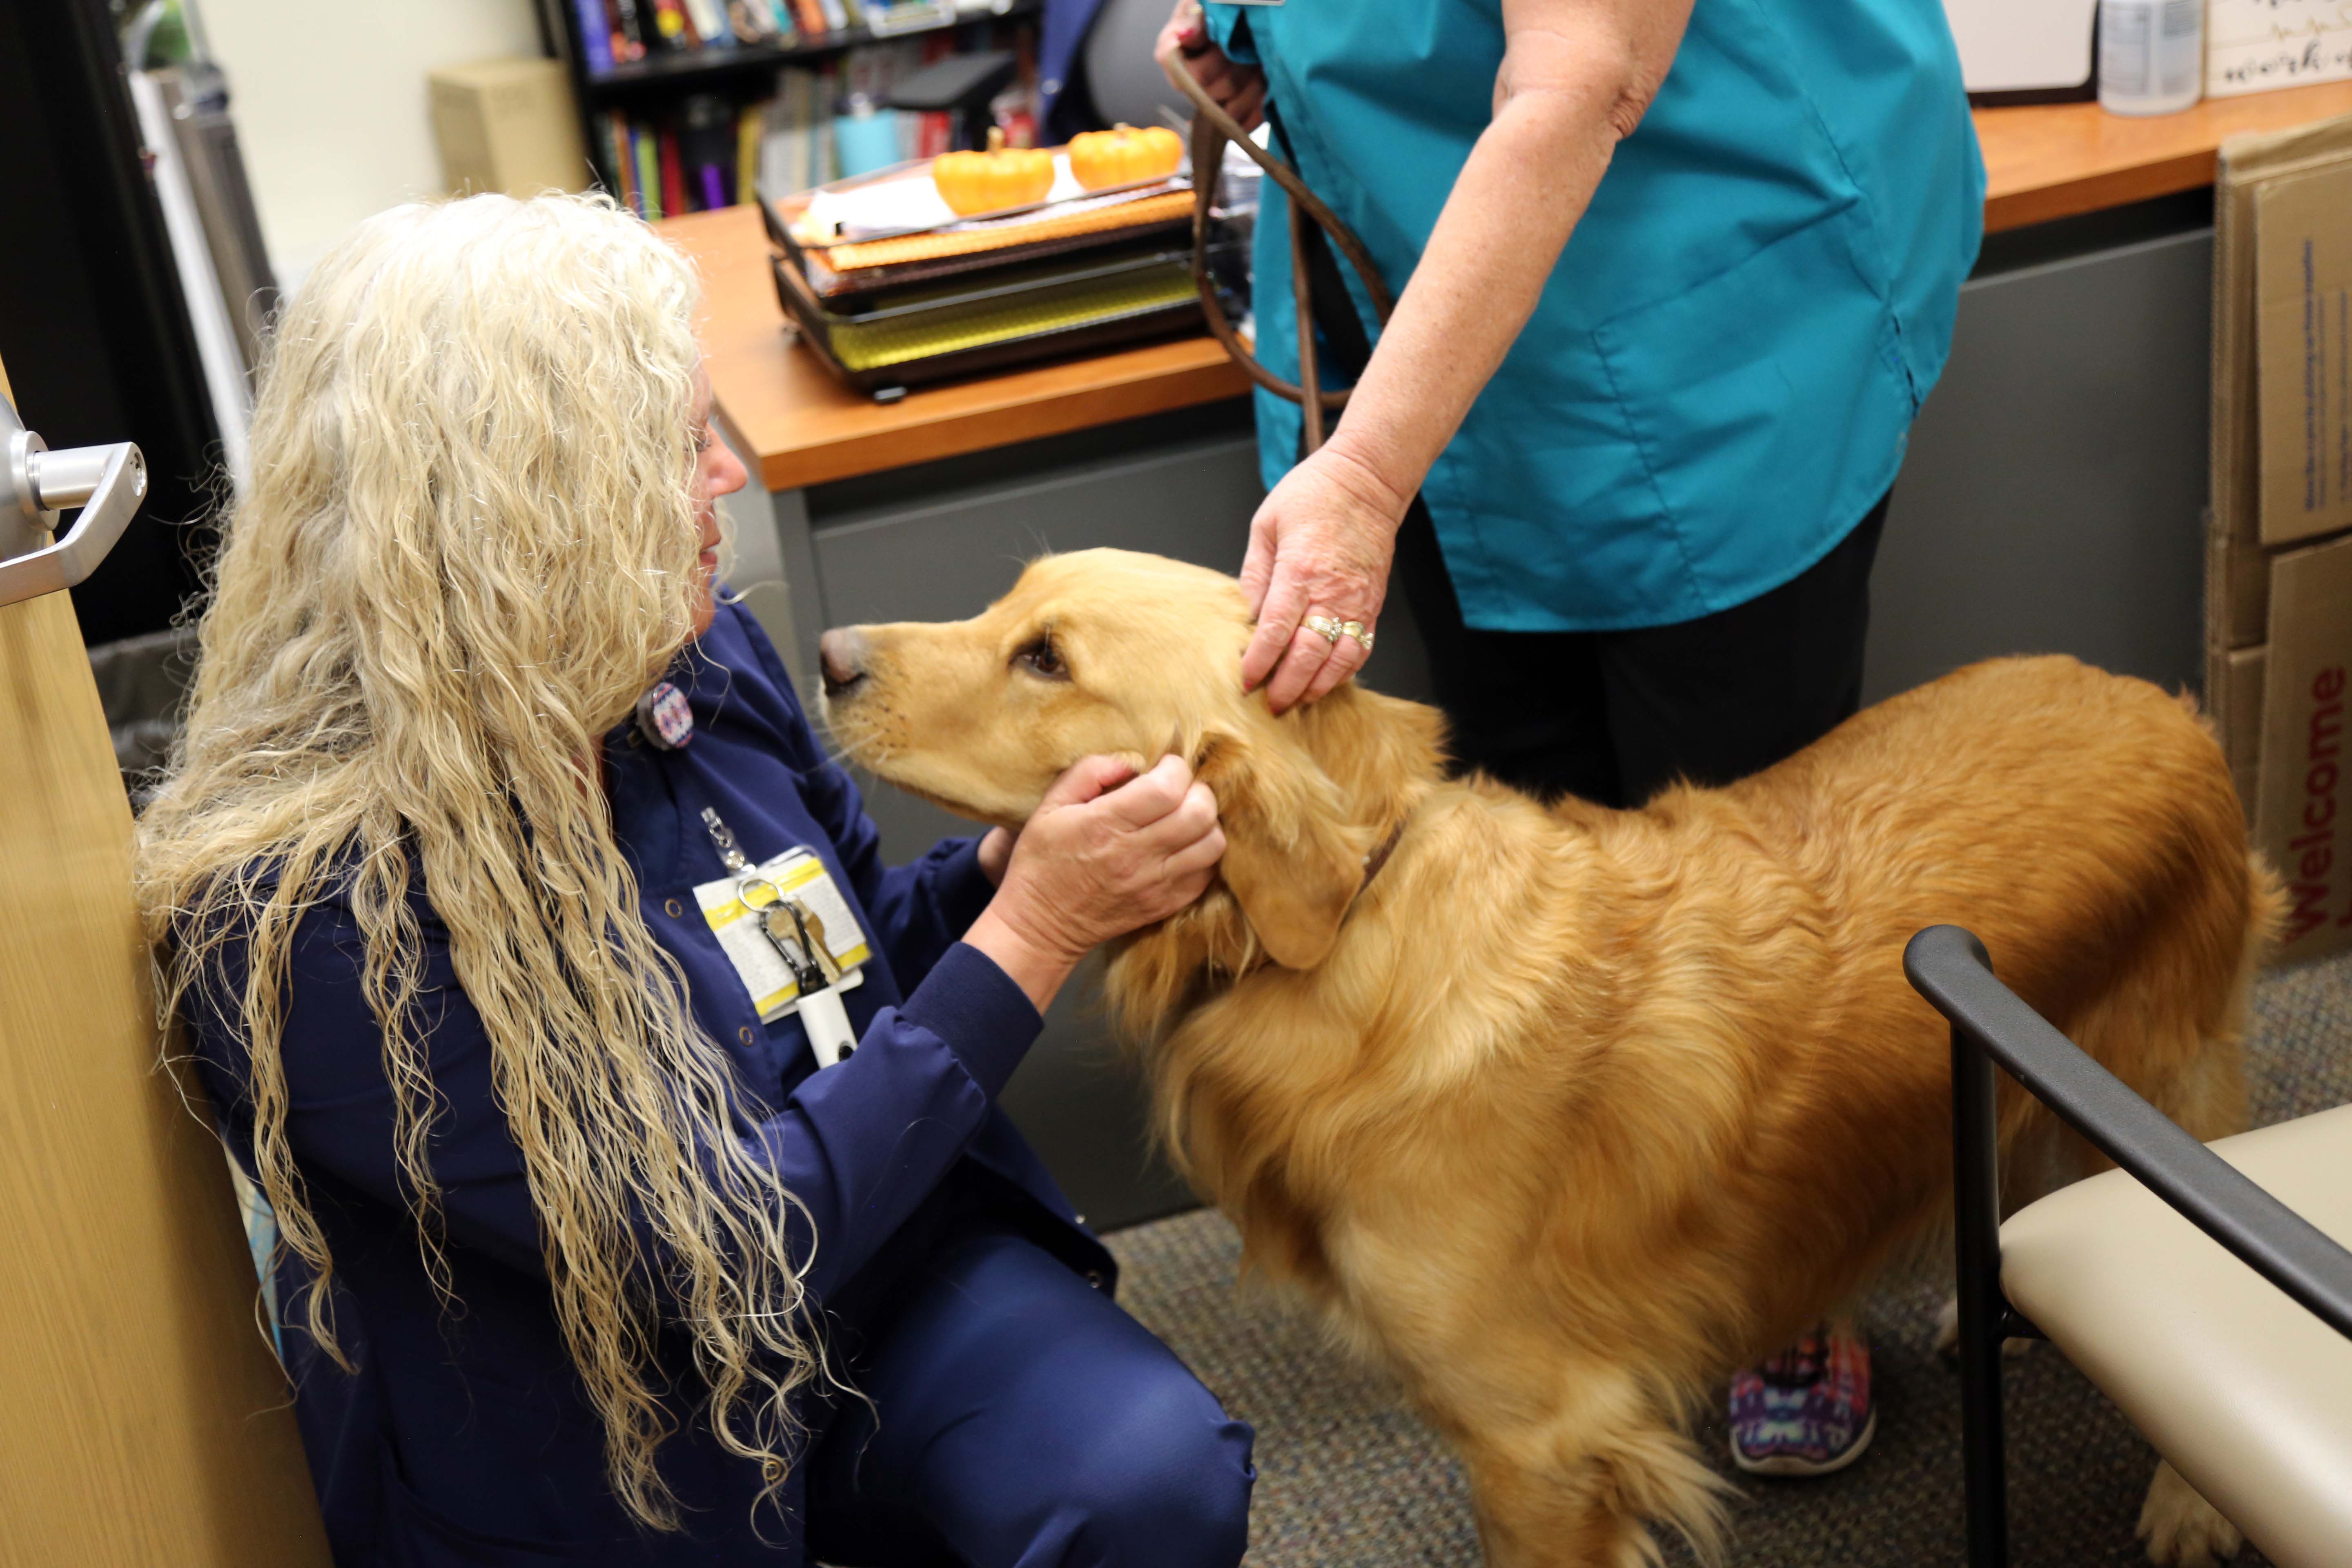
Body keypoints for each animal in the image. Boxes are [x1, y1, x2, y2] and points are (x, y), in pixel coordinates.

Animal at [823, 545, 2276, 1561]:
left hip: (2164, 1080)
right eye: (1012, 609)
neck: (1354, 930)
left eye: (1046, 660)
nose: (827, 651)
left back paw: (2195, 1499)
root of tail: (2171, 707)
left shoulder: (1542, 1440)